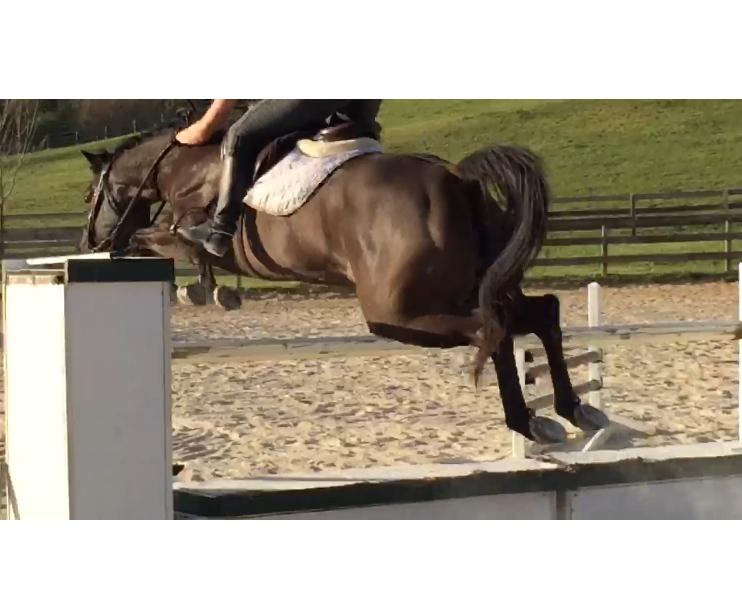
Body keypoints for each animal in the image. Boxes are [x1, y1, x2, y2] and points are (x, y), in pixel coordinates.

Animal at [80, 126, 609, 444]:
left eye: (91, 195)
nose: (90, 239)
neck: (184, 169)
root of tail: (458, 179)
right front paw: (210, 289)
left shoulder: (188, 232)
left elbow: (159, 241)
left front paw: (199, 288)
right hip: (478, 288)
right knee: (541, 312)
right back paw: (573, 409)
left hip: (394, 313)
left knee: (491, 330)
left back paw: (525, 420)